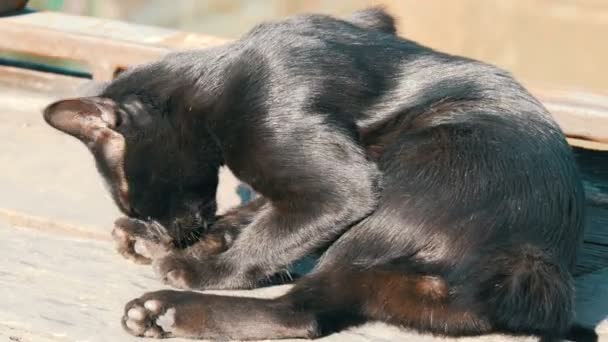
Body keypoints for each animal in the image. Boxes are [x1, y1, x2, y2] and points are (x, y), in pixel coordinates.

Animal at [42, 5, 588, 342]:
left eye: (137, 200)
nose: (161, 229)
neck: (214, 82)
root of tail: (526, 257)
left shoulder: (337, 186)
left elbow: (266, 240)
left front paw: (198, 262)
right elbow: (260, 214)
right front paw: (182, 240)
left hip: (408, 176)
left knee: (299, 312)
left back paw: (164, 309)